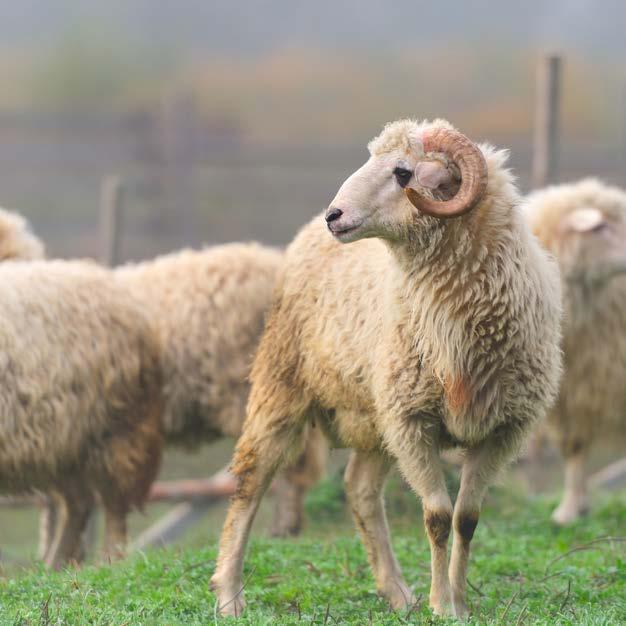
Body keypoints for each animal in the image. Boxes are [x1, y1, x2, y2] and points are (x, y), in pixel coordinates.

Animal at [0, 258, 163, 564]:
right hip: (65, 449)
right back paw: (54, 565)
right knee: (78, 504)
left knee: (114, 504)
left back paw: (111, 561)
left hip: (115, 431)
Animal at [210, 117, 560, 616]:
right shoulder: (414, 421)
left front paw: (458, 602)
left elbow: (467, 518)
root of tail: (305, 235)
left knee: (359, 489)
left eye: (402, 172)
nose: (334, 216)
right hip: (282, 384)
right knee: (250, 482)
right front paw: (441, 605)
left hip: (377, 415)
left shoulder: (501, 430)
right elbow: (437, 516)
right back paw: (229, 596)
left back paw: (397, 593)